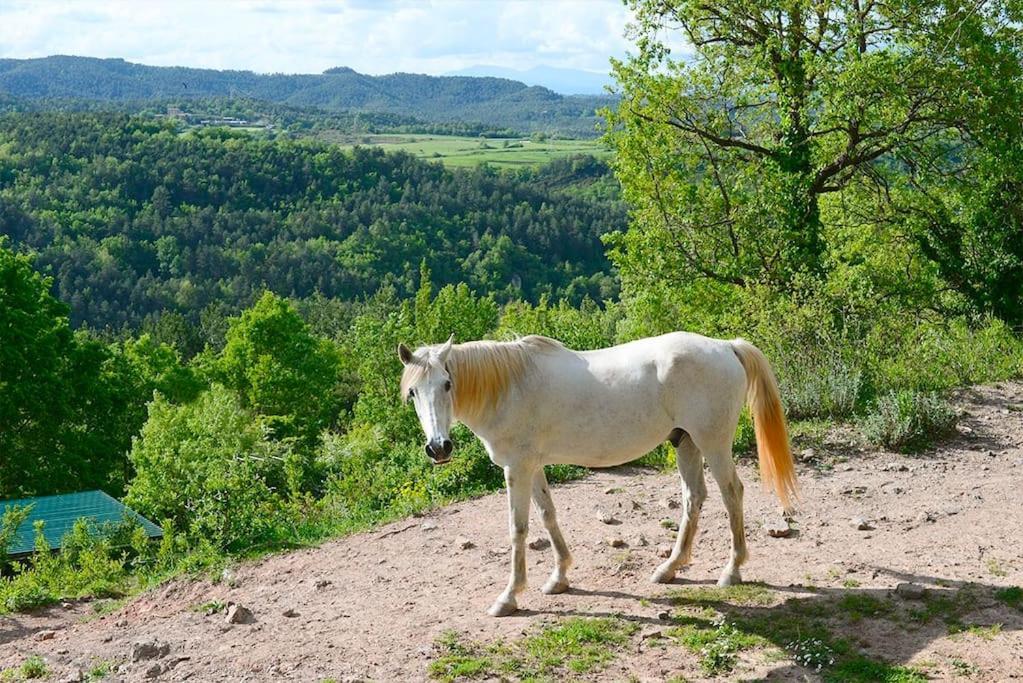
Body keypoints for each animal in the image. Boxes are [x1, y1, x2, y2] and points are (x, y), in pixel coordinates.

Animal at [394, 331, 793, 617]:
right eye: (412, 392)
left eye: (447, 384)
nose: (439, 448)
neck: (509, 387)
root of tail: (726, 347)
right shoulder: (532, 466)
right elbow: (548, 515)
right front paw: (559, 577)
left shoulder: (517, 468)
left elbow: (518, 528)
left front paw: (509, 597)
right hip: (687, 443)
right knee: (694, 497)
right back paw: (669, 569)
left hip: (713, 443)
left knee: (731, 493)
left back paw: (732, 571)